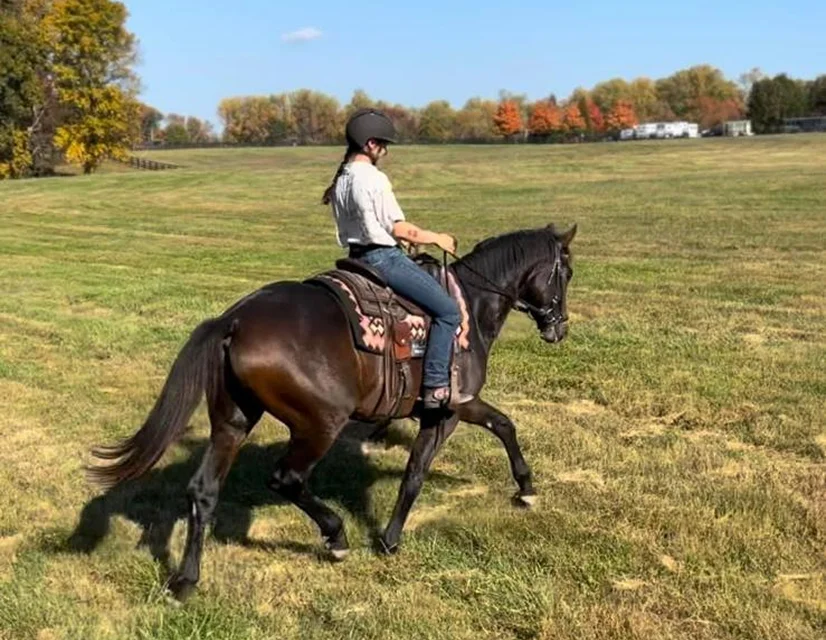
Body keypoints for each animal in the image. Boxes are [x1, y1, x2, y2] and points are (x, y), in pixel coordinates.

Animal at [89, 223, 576, 601]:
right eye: (566, 273)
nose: (559, 328)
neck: (468, 307)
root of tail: (235, 319)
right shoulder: (450, 407)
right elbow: (422, 469)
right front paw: (390, 539)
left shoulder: (455, 408)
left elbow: (500, 426)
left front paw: (525, 488)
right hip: (320, 424)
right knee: (286, 478)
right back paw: (336, 536)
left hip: (233, 420)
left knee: (203, 491)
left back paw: (186, 581)